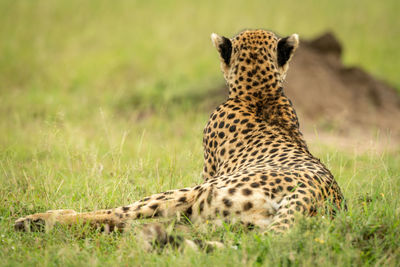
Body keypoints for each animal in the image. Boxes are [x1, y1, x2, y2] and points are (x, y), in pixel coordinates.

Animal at [14, 30, 344, 242]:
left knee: (119, 216)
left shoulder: (207, 173)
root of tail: (315, 191)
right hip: (227, 223)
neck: (259, 93)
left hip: (193, 192)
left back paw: (37, 220)